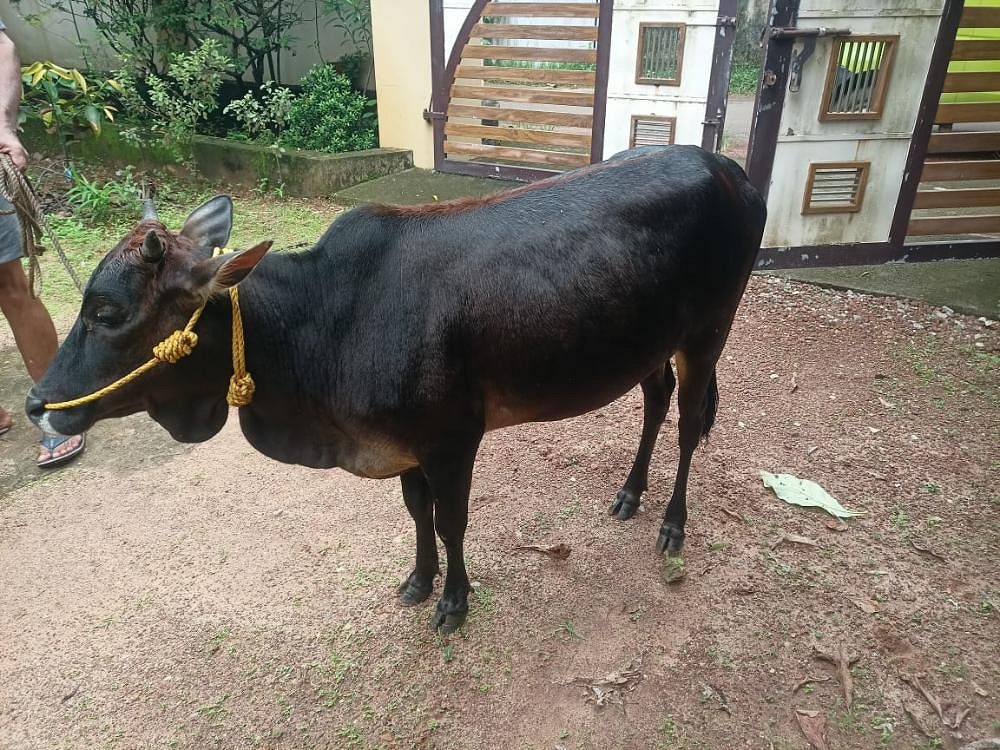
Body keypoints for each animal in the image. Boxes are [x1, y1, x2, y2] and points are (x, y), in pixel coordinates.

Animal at [27, 145, 766, 633]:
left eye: (108, 312)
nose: (37, 403)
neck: (326, 318)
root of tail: (727, 168)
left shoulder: (453, 438)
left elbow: (450, 519)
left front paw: (454, 602)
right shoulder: (401, 443)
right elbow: (416, 514)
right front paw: (419, 581)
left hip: (711, 329)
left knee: (691, 418)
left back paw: (671, 522)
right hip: (650, 342)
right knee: (656, 400)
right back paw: (629, 494)